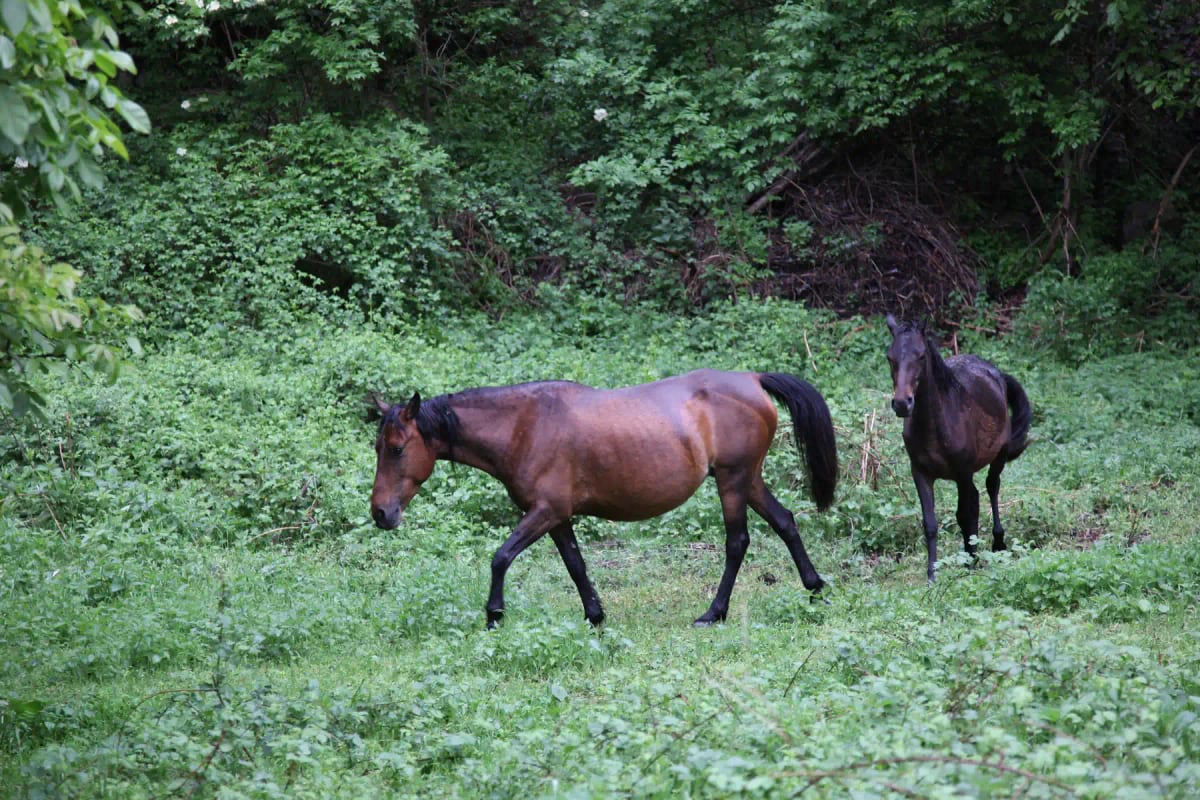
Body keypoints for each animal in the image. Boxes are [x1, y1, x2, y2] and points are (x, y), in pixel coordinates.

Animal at [369, 369, 839, 628]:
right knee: (785, 521)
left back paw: (713, 613)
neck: (524, 426)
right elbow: (576, 565)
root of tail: (752, 380)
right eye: (378, 446)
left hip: (733, 481)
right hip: (749, 480)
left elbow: (500, 557)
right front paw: (595, 616)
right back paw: (815, 589)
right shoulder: (557, 517)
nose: (380, 513)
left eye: (397, 448)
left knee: (737, 542)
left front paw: (494, 615)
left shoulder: (545, 512)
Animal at [885, 315, 1032, 582]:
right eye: (890, 357)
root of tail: (996, 373)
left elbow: (967, 512)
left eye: (920, 356)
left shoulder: (963, 473)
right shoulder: (920, 473)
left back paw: (997, 543)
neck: (935, 424)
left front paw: (971, 562)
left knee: (991, 487)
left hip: (998, 456)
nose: (902, 403)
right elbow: (931, 524)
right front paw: (932, 574)